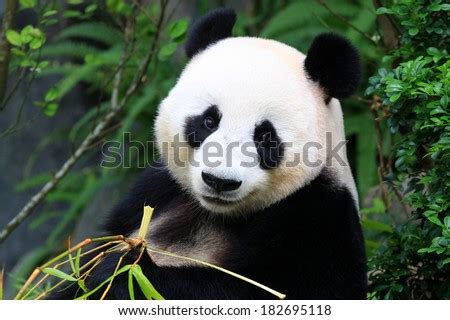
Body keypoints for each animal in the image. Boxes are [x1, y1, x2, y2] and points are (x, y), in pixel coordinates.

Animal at [58, 7, 368, 300]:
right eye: (209, 121)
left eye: (265, 136)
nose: (220, 181)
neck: (217, 214)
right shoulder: (157, 190)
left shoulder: (319, 218)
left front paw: (122, 271)